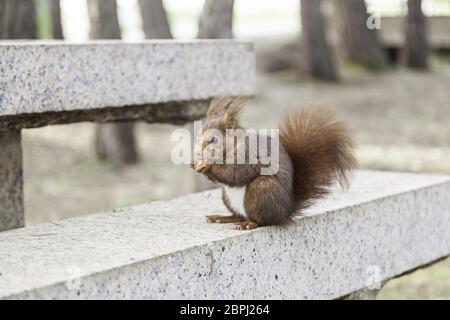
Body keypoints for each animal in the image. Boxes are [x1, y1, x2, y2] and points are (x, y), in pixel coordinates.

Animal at [192, 96, 356, 231]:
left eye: (213, 139)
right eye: (198, 136)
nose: (197, 153)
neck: (234, 145)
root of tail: (285, 212)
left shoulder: (249, 155)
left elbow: (235, 174)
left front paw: (207, 166)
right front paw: (196, 164)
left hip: (261, 191)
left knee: (263, 221)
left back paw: (249, 223)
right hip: (227, 197)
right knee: (238, 215)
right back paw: (221, 217)